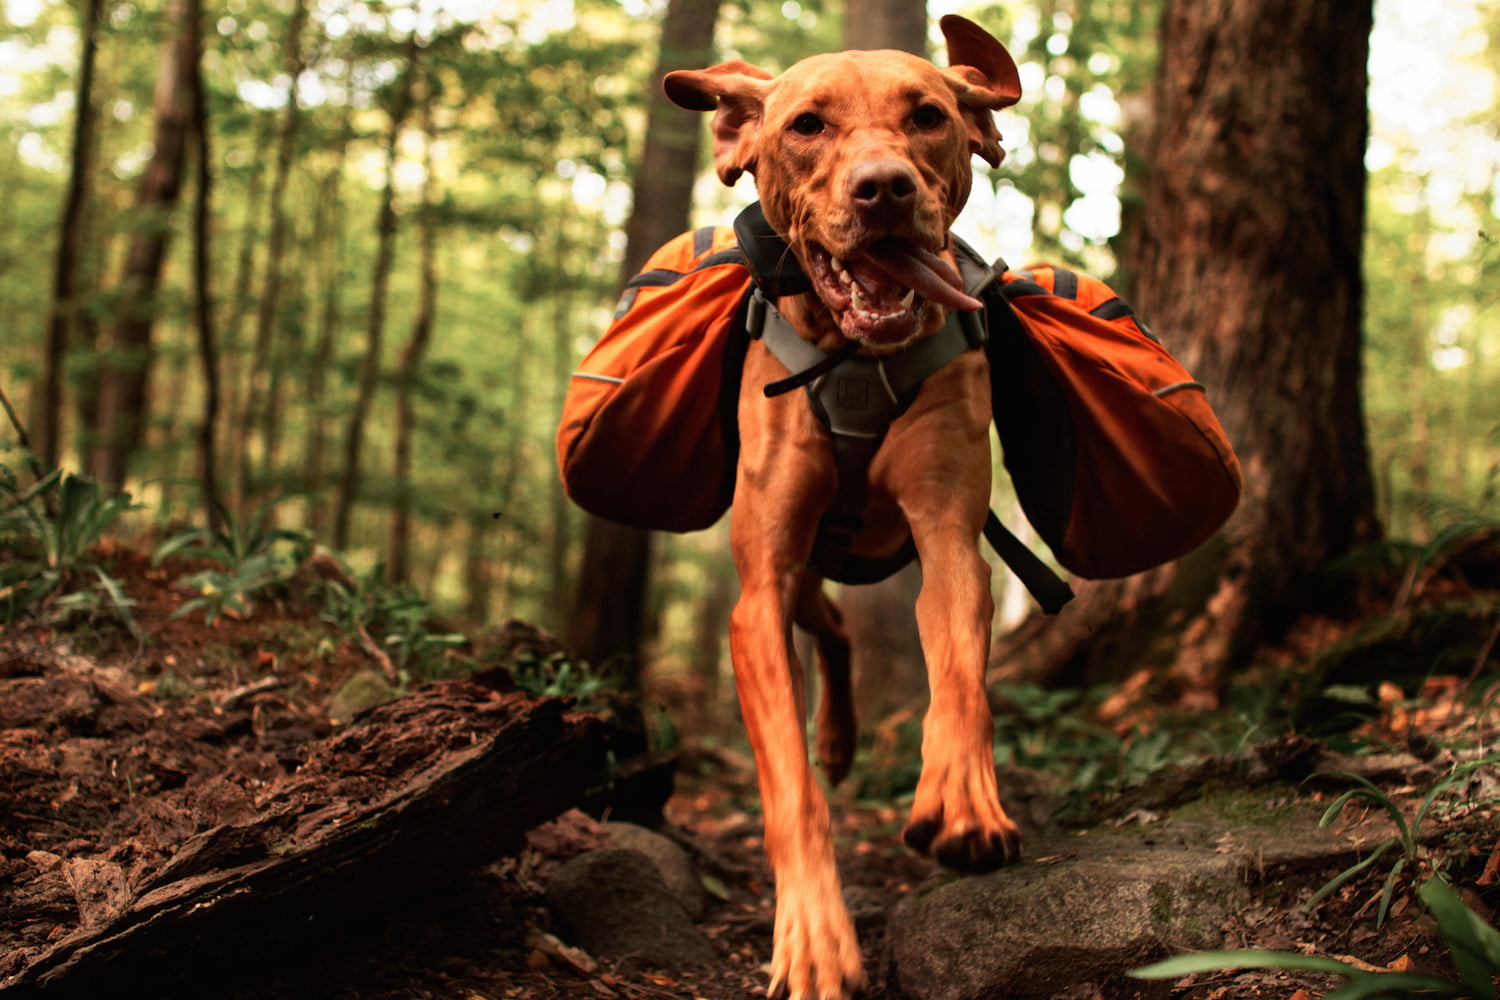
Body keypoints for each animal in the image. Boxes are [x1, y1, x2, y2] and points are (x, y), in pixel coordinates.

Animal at [672, 15, 1032, 1000]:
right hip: (790, 565)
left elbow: (960, 678)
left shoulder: (948, 535)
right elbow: (790, 789)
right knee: (825, 624)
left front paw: (962, 798)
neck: (853, 357)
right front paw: (812, 939)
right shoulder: (759, 591)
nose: (884, 190)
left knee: (838, 630)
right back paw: (833, 740)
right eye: (806, 126)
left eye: (929, 117)